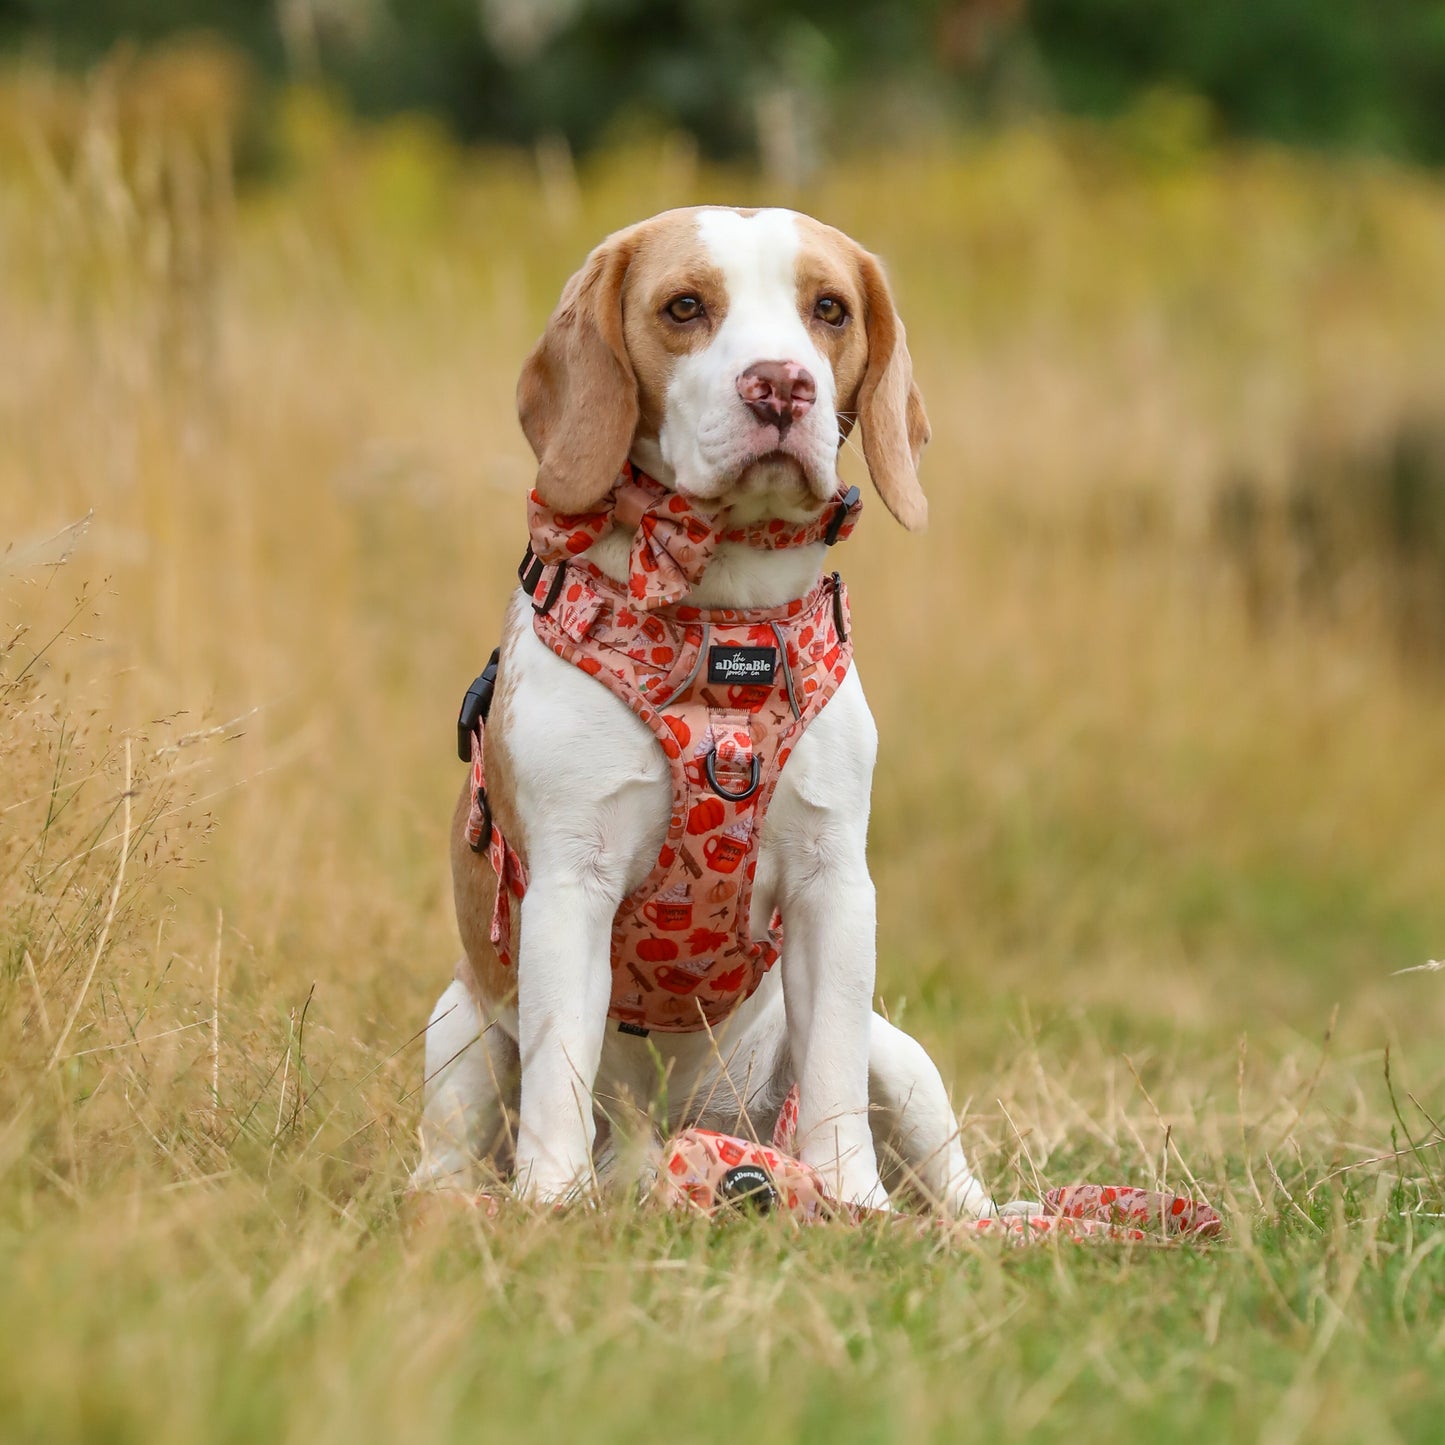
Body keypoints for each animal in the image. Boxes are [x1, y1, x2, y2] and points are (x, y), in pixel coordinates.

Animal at [413, 206, 1011, 1219]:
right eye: (684, 306)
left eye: (829, 308)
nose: (781, 384)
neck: (727, 623)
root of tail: (665, 1141)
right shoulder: (571, 881)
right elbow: (560, 1062)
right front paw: (552, 1198)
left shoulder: (833, 884)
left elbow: (834, 1078)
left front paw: (851, 1200)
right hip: (461, 1023)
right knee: (454, 1144)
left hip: (903, 1058)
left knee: (941, 1163)